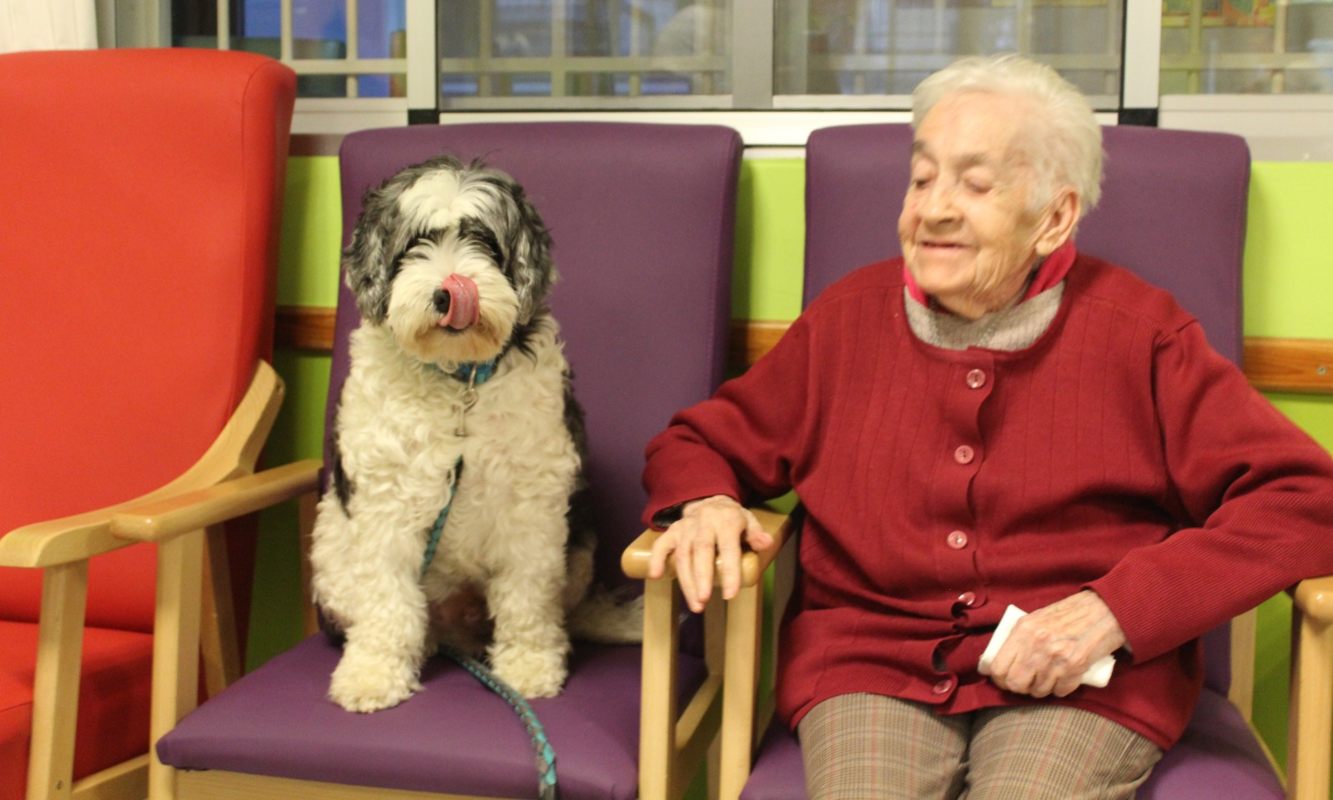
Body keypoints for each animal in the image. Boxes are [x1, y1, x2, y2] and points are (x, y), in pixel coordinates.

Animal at [311, 156, 623, 714]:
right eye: (415, 241)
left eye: (485, 241)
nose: (447, 291)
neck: (459, 385)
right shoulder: (385, 504)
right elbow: (386, 598)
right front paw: (373, 674)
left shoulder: (531, 505)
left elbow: (526, 598)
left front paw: (529, 665)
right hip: (331, 555)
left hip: (581, 545)